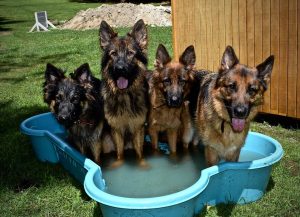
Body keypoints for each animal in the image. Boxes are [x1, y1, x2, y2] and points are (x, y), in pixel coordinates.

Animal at [99, 19, 149, 164]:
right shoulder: (116, 130)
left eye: (130, 53)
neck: (125, 94)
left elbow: (139, 155)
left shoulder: (138, 128)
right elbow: (120, 154)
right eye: (114, 53)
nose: (120, 69)